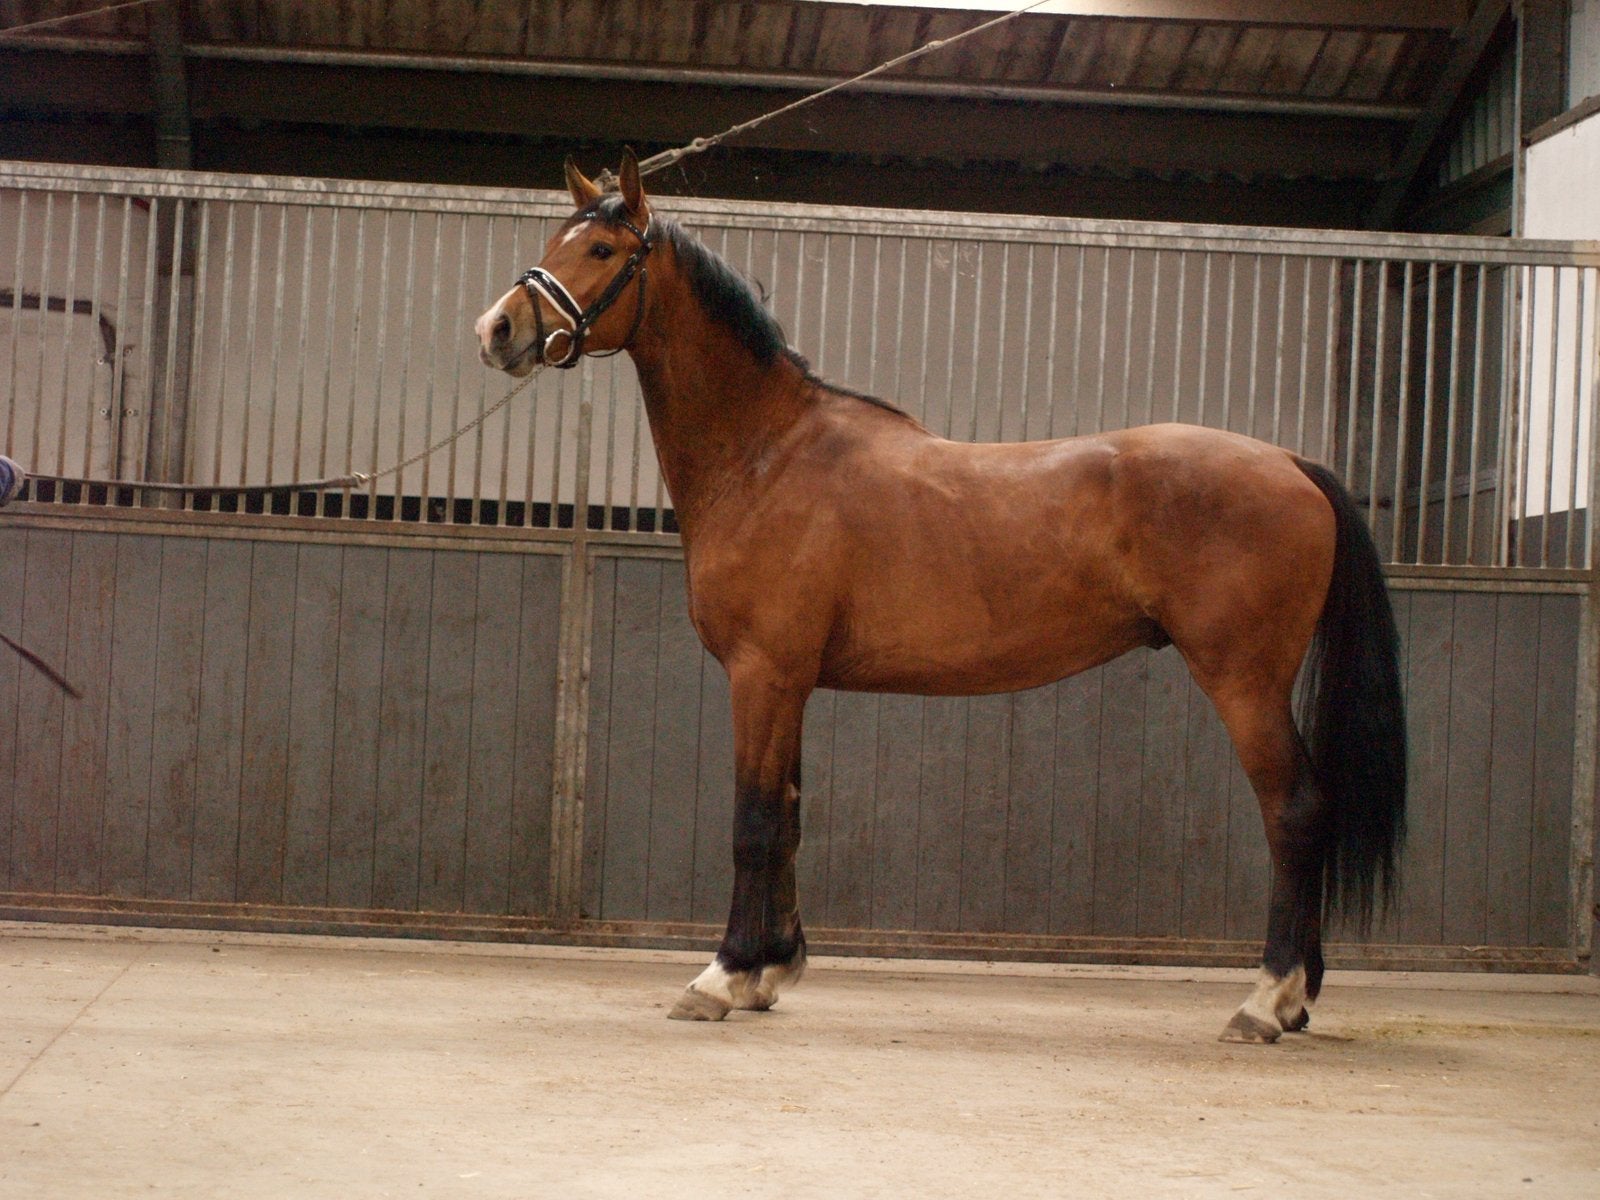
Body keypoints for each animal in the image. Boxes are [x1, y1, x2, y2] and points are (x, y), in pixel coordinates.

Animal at [474, 152, 1407, 1043]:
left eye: (601, 250)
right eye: (557, 237)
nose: (498, 329)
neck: (769, 453)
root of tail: (1291, 463)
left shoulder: (761, 673)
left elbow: (753, 822)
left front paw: (721, 977)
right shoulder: (792, 681)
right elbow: (790, 818)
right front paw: (772, 971)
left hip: (1244, 682)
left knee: (1294, 812)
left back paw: (1266, 1000)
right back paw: (1296, 999)